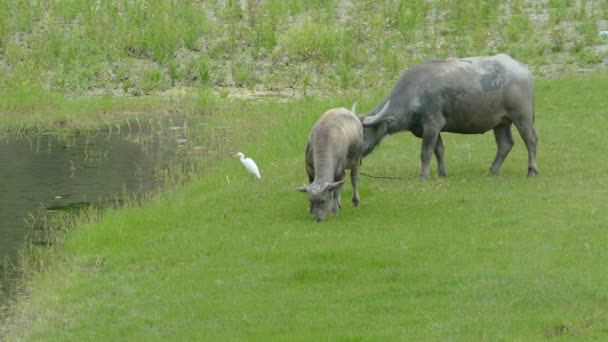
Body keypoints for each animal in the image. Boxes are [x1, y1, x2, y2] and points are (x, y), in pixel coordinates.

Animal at [358, 53, 540, 180]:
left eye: (364, 133)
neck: (412, 94)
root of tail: (524, 69)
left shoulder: (432, 123)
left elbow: (426, 152)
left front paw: (423, 176)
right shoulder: (430, 129)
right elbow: (439, 150)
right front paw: (442, 173)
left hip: (522, 116)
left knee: (530, 139)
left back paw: (531, 171)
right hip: (501, 122)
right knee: (505, 144)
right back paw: (491, 171)